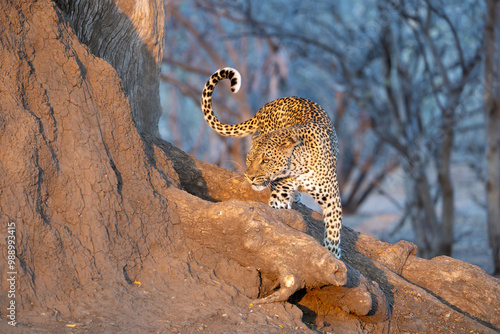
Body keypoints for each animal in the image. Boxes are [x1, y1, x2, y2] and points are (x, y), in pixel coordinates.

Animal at [201, 66, 342, 258]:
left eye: (265, 161)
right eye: (250, 158)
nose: (249, 177)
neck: (297, 168)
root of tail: (269, 104)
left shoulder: (332, 198)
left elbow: (334, 230)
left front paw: (333, 254)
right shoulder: (281, 193)